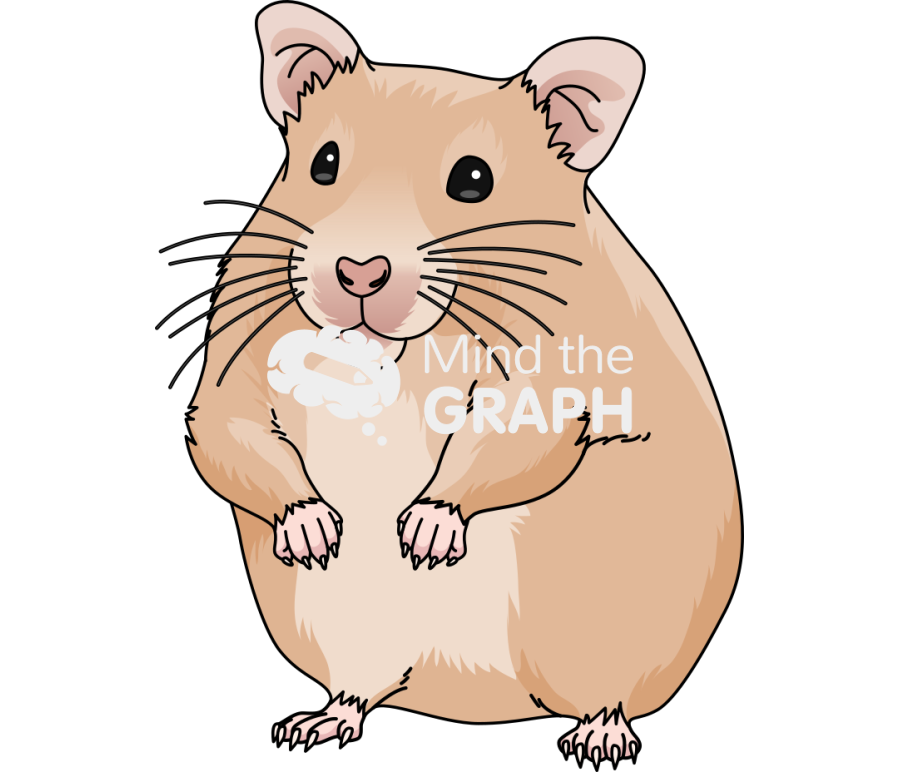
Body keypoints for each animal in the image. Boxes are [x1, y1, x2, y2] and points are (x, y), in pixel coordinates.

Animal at [177, 3, 740, 759]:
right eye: (324, 163)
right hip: (341, 626)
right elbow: (228, 432)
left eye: (473, 179)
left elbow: (501, 440)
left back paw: (597, 740)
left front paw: (423, 535)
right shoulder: (232, 369)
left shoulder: (552, 381)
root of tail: (491, 699)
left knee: (607, 693)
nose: (358, 271)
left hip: (615, 619)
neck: (387, 351)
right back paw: (316, 726)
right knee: (362, 683)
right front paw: (316, 532)